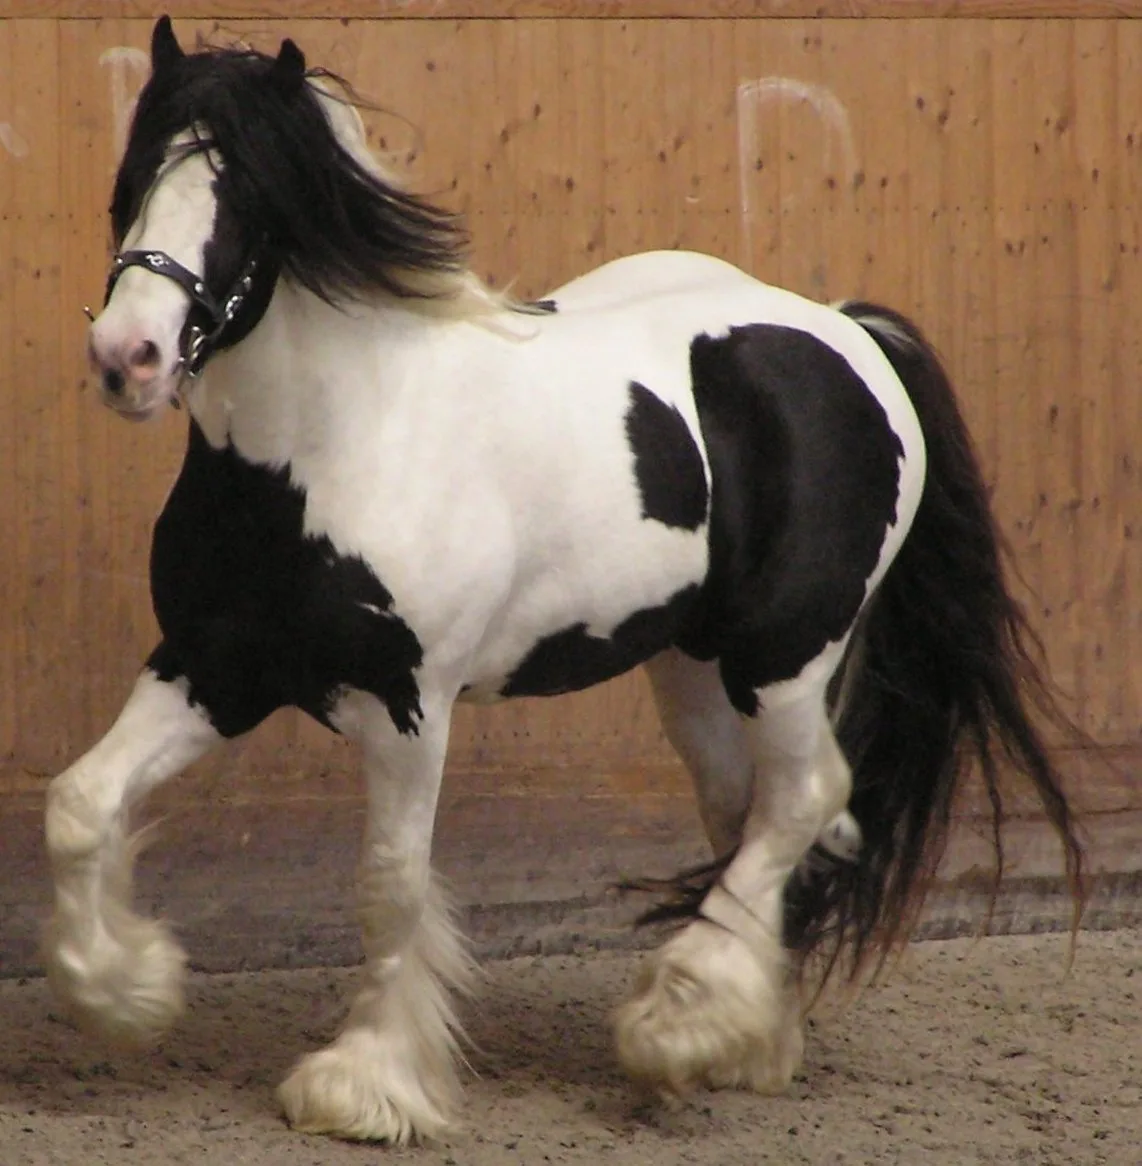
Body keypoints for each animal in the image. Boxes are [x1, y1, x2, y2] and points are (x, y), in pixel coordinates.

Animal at [45, 16, 1084, 1144]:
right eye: (133, 177)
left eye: (250, 199)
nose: (128, 358)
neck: (331, 446)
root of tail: (845, 329)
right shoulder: (211, 668)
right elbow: (79, 803)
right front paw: (125, 990)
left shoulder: (410, 705)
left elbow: (388, 885)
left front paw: (368, 1084)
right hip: (689, 668)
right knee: (751, 810)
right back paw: (744, 1038)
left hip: (785, 654)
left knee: (806, 797)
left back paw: (675, 1028)